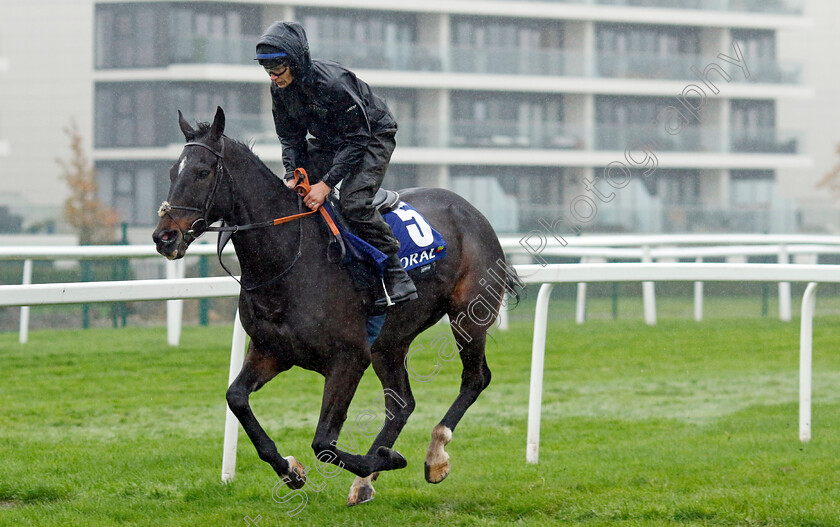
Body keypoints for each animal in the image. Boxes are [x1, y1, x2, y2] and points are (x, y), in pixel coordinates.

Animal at [151, 107, 520, 508]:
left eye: (202, 171)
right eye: (172, 172)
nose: (163, 237)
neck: (290, 259)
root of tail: (471, 210)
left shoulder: (348, 359)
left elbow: (324, 443)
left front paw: (385, 459)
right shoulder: (271, 351)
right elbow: (236, 399)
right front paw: (290, 470)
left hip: (469, 315)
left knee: (474, 378)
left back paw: (434, 455)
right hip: (389, 342)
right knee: (402, 404)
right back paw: (366, 480)